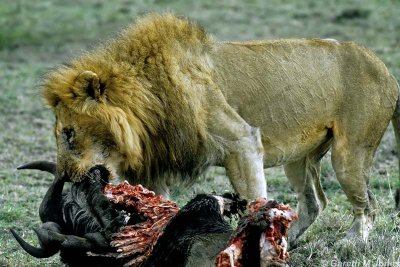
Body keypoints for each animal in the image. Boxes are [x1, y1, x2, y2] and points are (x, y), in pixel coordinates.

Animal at [41, 13, 400, 246]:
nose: (68, 176)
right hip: (299, 159)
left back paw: (352, 242)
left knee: (368, 205)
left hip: (349, 154)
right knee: (314, 202)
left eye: (68, 134)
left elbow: (254, 199)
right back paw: (292, 242)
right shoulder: (156, 166)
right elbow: (158, 210)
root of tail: (384, 67)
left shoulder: (242, 140)